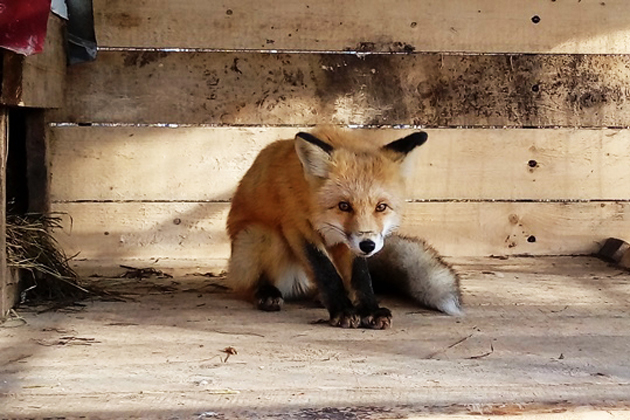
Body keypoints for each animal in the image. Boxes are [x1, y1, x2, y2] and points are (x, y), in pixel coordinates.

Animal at [227, 126, 464, 330]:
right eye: (344, 206)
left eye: (381, 207)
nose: (368, 245)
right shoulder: (297, 225)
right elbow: (325, 271)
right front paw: (342, 311)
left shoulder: (350, 244)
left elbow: (361, 276)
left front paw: (370, 310)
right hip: (259, 234)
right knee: (246, 283)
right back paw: (266, 293)